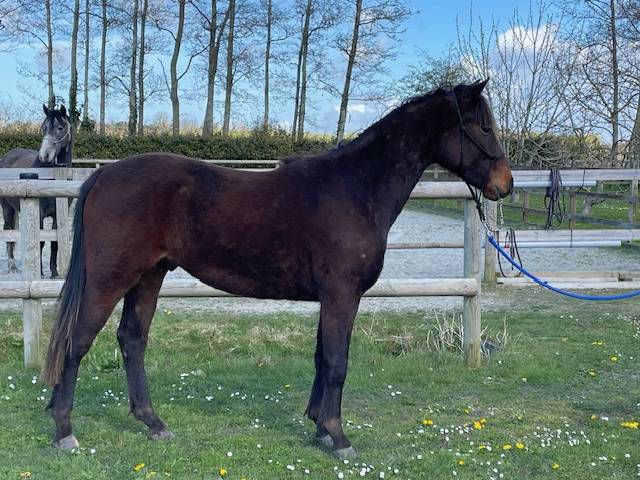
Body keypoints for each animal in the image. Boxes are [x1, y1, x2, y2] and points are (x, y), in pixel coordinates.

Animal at [0, 104, 73, 277]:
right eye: (44, 127)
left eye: (60, 128)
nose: (44, 155)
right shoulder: (38, 212)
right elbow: (40, 242)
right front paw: (39, 271)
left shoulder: (59, 213)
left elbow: (54, 243)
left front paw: (54, 272)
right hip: (6, 207)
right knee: (8, 230)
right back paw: (12, 266)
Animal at [43, 80, 513, 457]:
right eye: (483, 127)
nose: (505, 185)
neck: (357, 188)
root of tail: (103, 177)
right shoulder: (342, 294)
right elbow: (337, 362)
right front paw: (338, 436)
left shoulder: (331, 298)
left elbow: (323, 357)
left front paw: (319, 427)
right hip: (111, 278)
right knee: (77, 341)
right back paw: (64, 430)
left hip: (149, 276)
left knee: (132, 340)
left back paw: (153, 423)